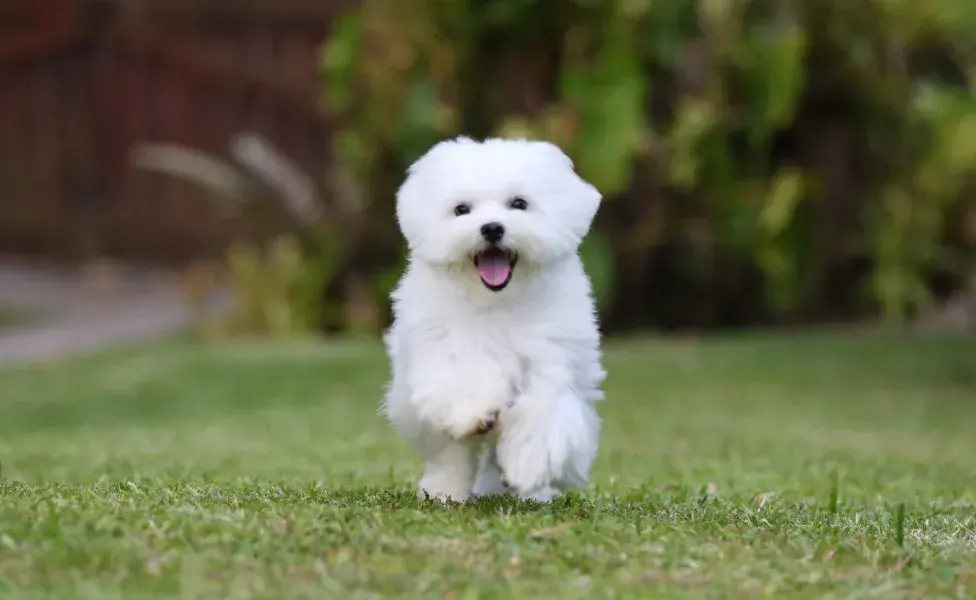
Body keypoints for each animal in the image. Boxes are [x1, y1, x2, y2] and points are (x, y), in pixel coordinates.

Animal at [380, 135, 604, 502]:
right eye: (461, 209)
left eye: (519, 203)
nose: (492, 228)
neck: (498, 301)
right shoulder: (444, 343)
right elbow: (463, 375)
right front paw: (476, 412)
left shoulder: (553, 353)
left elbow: (544, 405)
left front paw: (529, 463)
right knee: (449, 453)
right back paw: (443, 491)